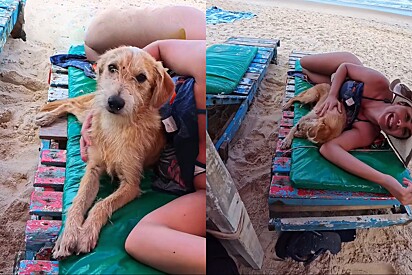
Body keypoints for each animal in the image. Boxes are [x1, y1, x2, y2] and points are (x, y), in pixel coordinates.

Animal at [36, 45, 175, 258]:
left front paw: (85, 234)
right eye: (112, 67)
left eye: (141, 77)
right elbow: (78, 201)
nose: (114, 102)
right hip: (89, 111)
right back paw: (48, 116)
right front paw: (68, 235)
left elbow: (102, 204)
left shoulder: (131, 184)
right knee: (70, 104)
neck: (116, 127)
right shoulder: (93, 169)